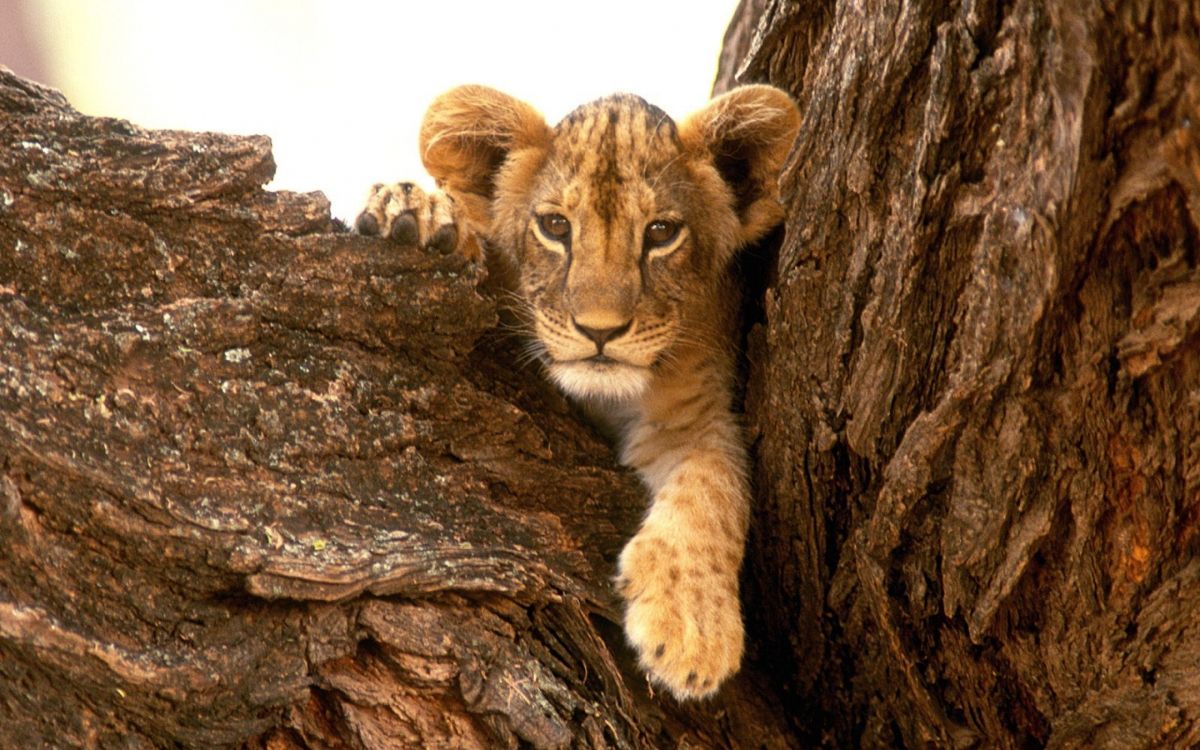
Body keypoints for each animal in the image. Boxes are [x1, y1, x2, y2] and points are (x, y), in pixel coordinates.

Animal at [356, 84, 799, 699]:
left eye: (661, 233)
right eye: (555, 226)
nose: (600, 330)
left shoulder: (696, 412)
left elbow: (715, 486)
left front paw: (691, 628)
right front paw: (416, 212)